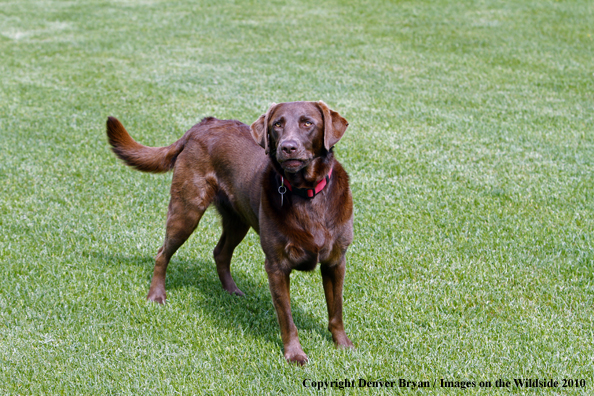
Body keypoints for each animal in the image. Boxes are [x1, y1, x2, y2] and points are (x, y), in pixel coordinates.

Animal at [106, 101, 352, 366]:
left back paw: (231, 290)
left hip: (237, 220)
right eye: (278, 125)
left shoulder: (336, 262)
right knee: (163, 253)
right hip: (187, 210)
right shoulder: (276, 266)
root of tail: (203, 124)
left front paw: (343, 345)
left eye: (308, 123)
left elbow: (336, 310)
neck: (306, 194)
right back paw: (156, 295)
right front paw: (294, 354)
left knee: (220, 253)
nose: (288, 147)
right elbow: (287, 318)